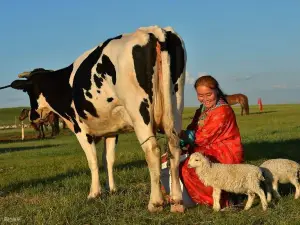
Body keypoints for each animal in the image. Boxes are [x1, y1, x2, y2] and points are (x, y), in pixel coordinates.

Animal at [9, 25, 186, 213]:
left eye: (28, 91)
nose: (32, 116)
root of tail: (153, 31)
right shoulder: (112, 130)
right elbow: (108, 159)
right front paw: (112, 189)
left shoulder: (80, 129)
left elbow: (92, 160)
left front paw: (94, 193)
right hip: (175, 107)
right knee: (174, 147)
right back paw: (177, 201)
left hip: (139, 111)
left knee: (152, 150)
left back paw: (155, 202)